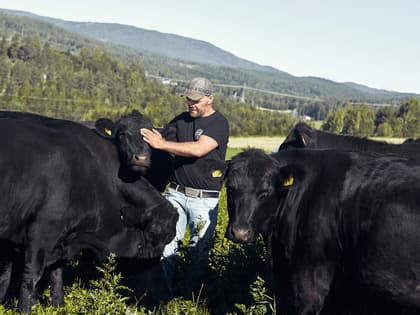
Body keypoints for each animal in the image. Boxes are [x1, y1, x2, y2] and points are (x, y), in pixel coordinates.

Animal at [0, 111, 179, 314]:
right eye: (149, 237)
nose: (162, 300)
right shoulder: (41, 231)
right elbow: (31, 276)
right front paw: (24, 308)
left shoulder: (62, 239)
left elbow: (56, 274)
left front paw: (58, 305)